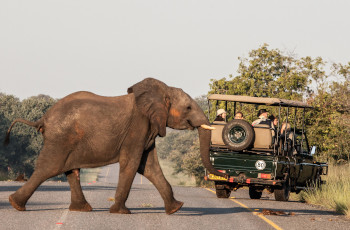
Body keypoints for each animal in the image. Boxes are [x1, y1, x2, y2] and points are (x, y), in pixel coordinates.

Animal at [4, 77, 228, 214]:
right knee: (49, 168)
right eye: (188, 107)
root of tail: (43, 118)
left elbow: (149, 167)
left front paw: (176, 209)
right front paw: (121, 212)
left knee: (70, 170)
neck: (158, 92)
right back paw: (16, 205)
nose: (225, 173)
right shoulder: (137, 127)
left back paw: (82, 209)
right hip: (60, 139)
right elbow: (132, 163)